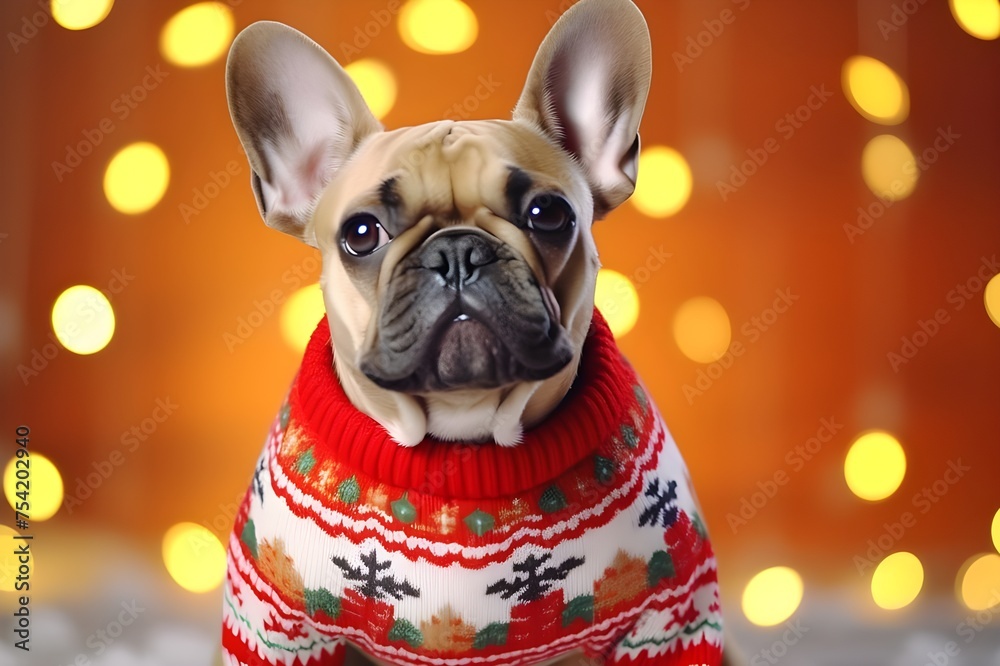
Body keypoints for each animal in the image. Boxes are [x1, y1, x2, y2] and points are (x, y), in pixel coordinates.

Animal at [223, 1, 732, 664]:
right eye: (361, 233)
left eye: (549, 214)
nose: (458, 252)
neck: (465, 432)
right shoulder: (275, 627)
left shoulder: (672, 617)